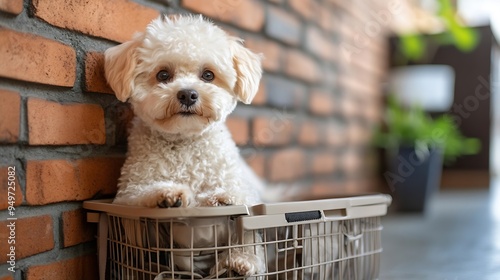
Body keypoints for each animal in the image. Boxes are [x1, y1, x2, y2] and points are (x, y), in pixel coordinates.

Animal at [104, 14, 266, 276]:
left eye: (208, 75)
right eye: (163, 75)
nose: (188, 94)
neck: (184, 143)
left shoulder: (245, 194)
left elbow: (246, 226)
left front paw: (241, 256)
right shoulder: (128, 197)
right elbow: (142, 195)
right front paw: (168, 195)